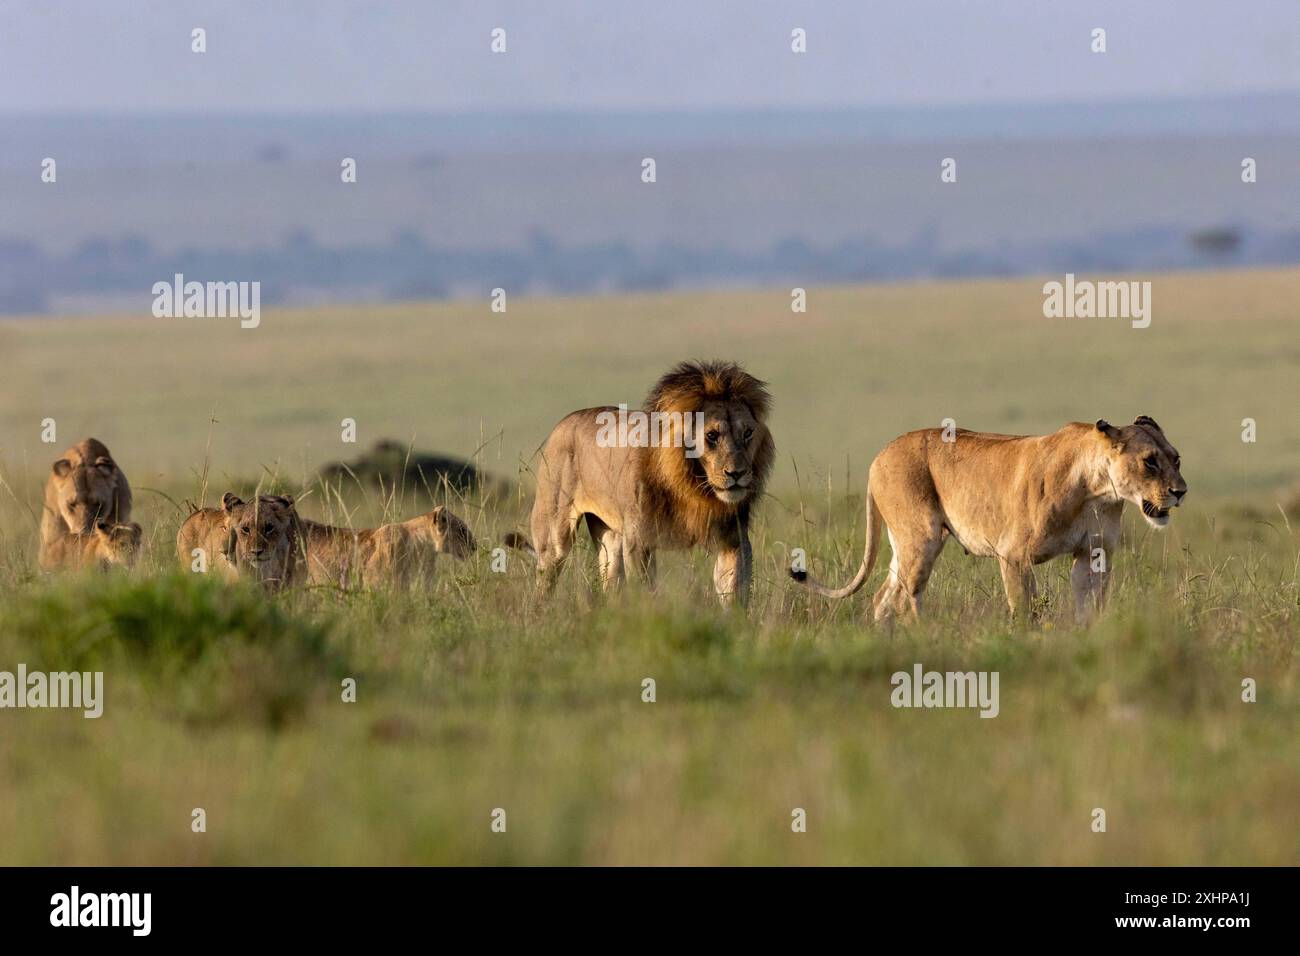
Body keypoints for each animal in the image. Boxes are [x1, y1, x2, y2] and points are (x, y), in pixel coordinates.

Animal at [504, 360, 774, 605]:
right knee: (545, 579)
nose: (737, 473)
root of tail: (564, 422)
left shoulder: (734, 540)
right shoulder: (639, 542)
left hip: (609, 536)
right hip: (554, 535)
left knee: (610, 580)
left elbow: (734, 592)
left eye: (748, 433)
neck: (693, 488)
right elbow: (645, 591)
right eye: (712, 435)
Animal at [792, 416, 1187, 623]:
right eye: (1150, 461)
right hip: (923, 537)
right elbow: (1024, 610)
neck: (1097, 490)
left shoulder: (1094, 554)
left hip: (902, 544)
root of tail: (880, 455)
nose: (1181, 491)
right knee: (906, 599)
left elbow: (1089, 607)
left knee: (883, 599)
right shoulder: (1013, 555)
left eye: (1175, 458)